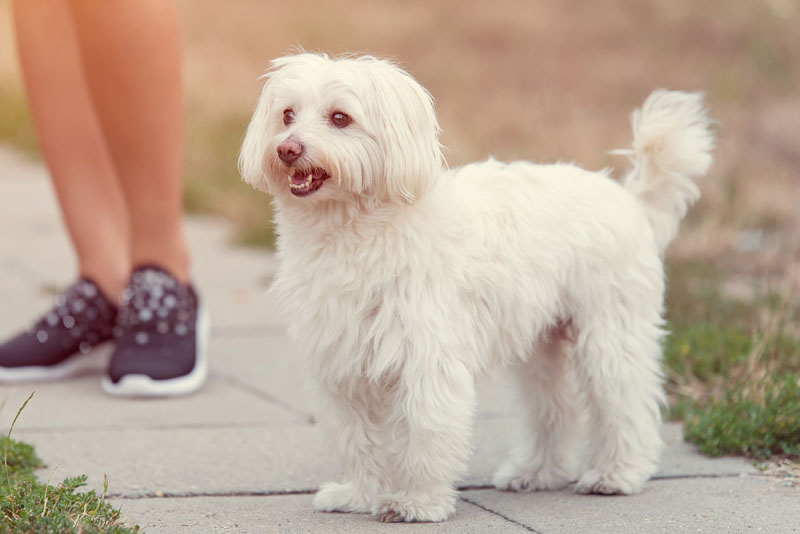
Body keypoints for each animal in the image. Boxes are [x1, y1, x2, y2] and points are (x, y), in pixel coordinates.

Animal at [238, 53, 712, 524]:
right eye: (287, 115)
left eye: (340, 117)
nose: (287, 148)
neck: (352, 230)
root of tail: (630, 199)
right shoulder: (341, 364)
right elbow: (355, 438)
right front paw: (360, 494)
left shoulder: (426, 359)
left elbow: (425, 430)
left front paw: (417, 502)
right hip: (541, 347)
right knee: (556, 408)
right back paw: (534, 472)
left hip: (610, 335)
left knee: (626, 403)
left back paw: (617, 474)